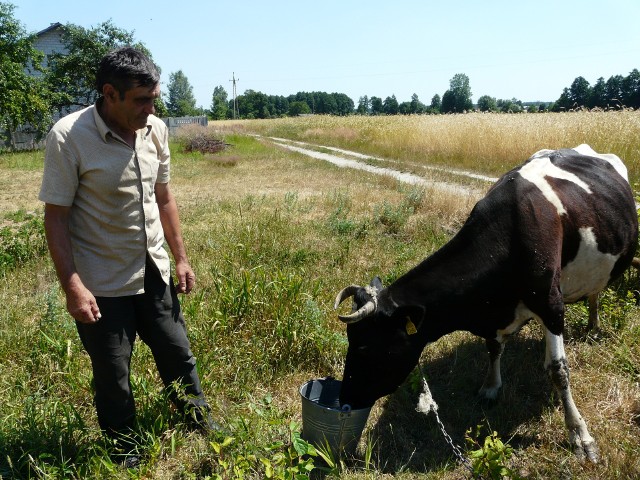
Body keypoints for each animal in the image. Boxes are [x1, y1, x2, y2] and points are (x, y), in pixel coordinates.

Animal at [332, 144, 636, 464]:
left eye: (365, 348)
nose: (345, 399)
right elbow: (493, 348)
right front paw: (490, 388)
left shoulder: (550, 302)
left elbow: (560, 371)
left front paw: (580, 435)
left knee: (594, 293)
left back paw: (593, 327)